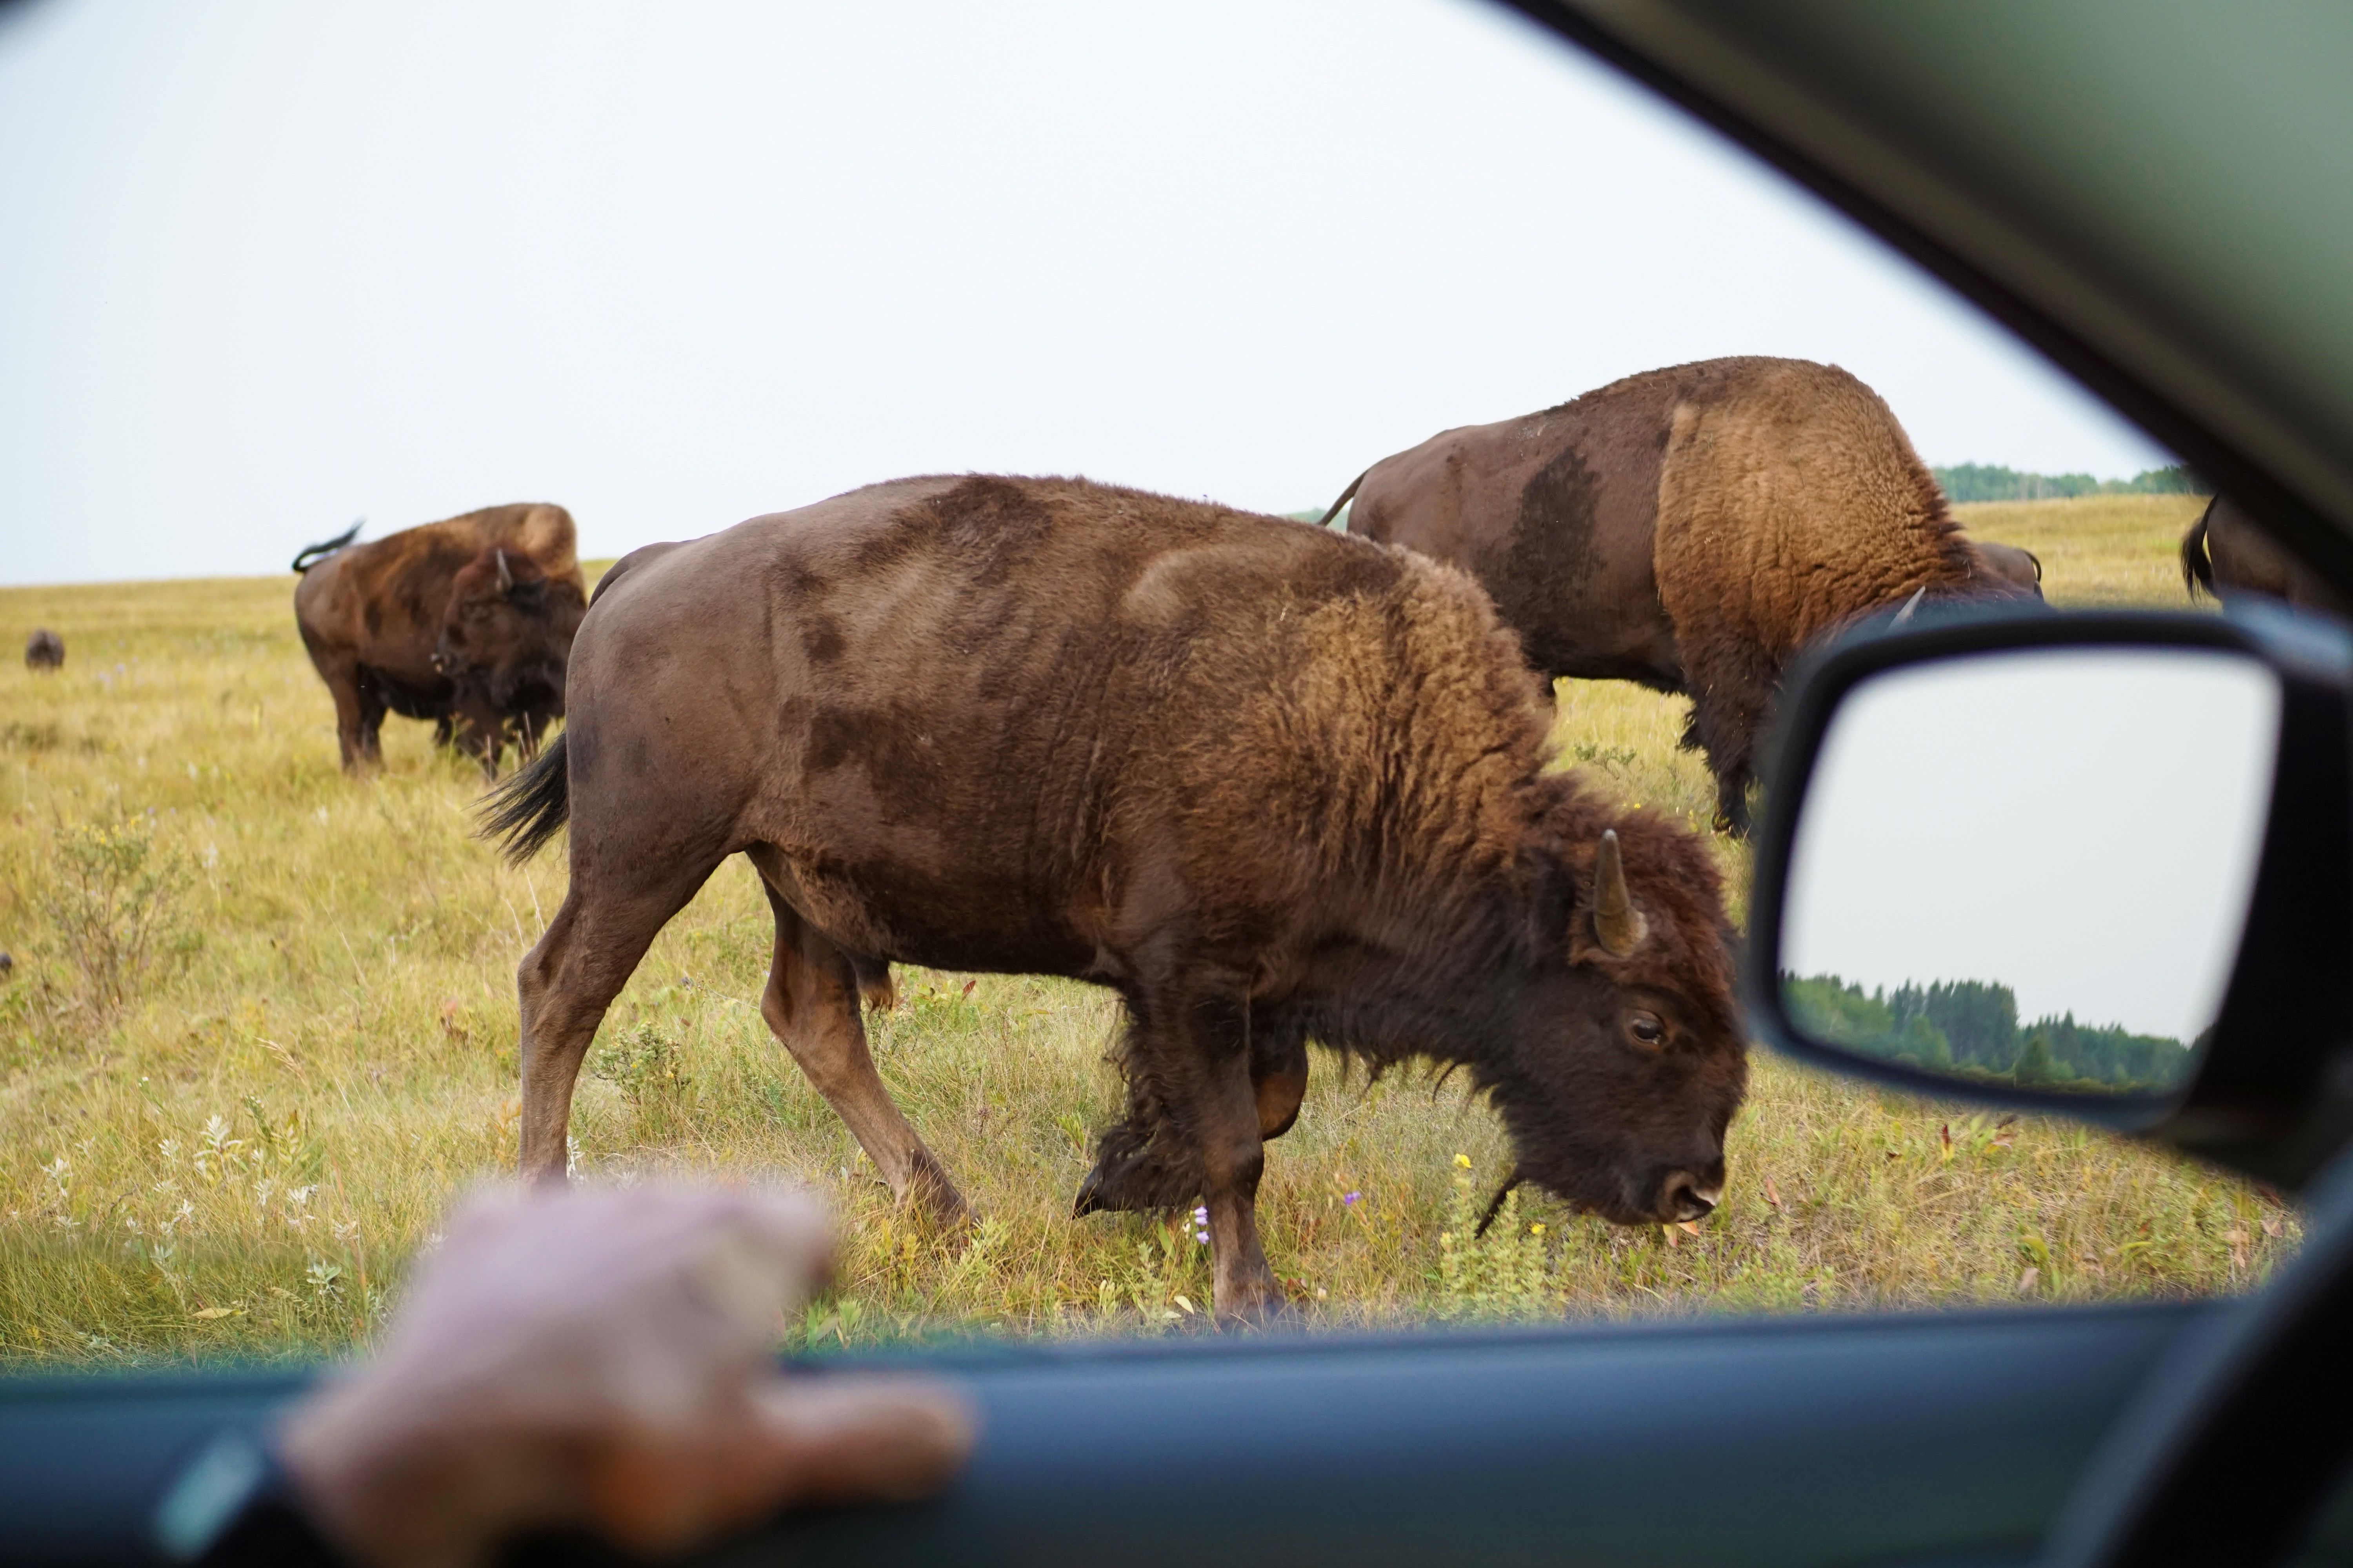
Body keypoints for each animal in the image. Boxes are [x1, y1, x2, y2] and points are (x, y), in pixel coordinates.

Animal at [292, 503, 588, 772]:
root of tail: (314, 569)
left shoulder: (539, 706)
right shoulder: (477, 699)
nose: (442, 658)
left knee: (368, 732)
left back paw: (376, 774)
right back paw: (363, 779)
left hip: (370, 687)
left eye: (474, 605)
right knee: (351, 730)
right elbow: (489, 746)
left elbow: (526, 745)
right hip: (343, 678)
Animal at [487, 471, 1760, 1309]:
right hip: (647, 855)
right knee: (563, 991)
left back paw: (951, 1214)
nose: (1696, 1191)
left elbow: (1258, 1111)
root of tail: (646, 567)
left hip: (789, 880)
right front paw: (1248, 1291)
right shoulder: (1187, 974)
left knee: (809, 1016)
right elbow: (1238, 1141)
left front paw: (1118, 1182)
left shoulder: (1254, 990)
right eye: (1645, 1022)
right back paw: (544, 1207)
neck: (1369, 739)